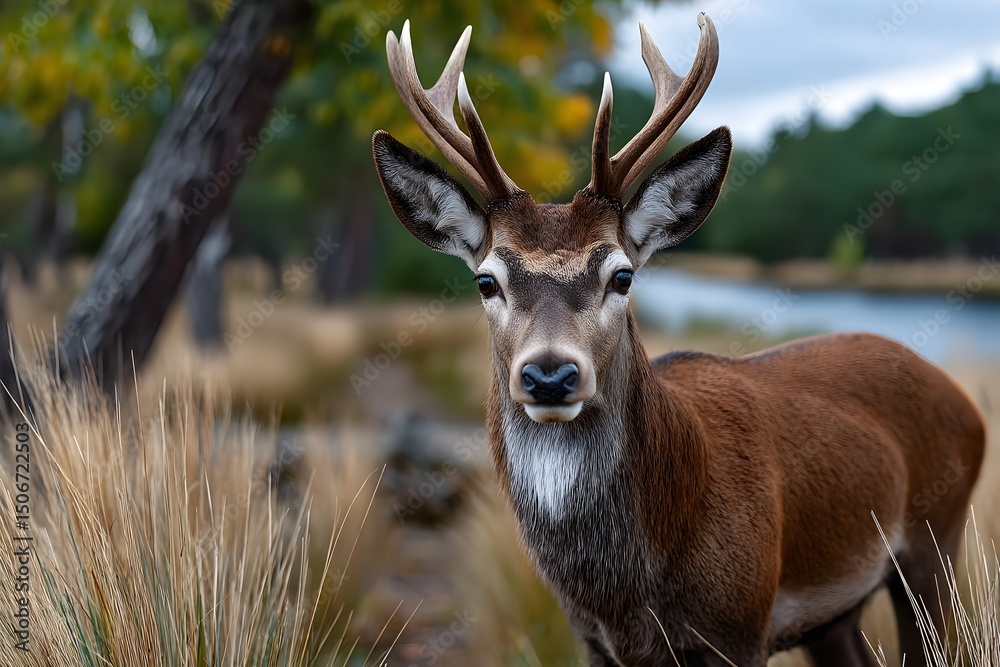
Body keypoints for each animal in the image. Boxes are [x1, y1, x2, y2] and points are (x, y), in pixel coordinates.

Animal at [371, 15, 986, 667]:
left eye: (621, 275)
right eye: (487, 280)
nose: (550, 375)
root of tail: (965, 400)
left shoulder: (743, 624)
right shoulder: (591, 638)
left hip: (938, 540)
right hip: (835, 614)